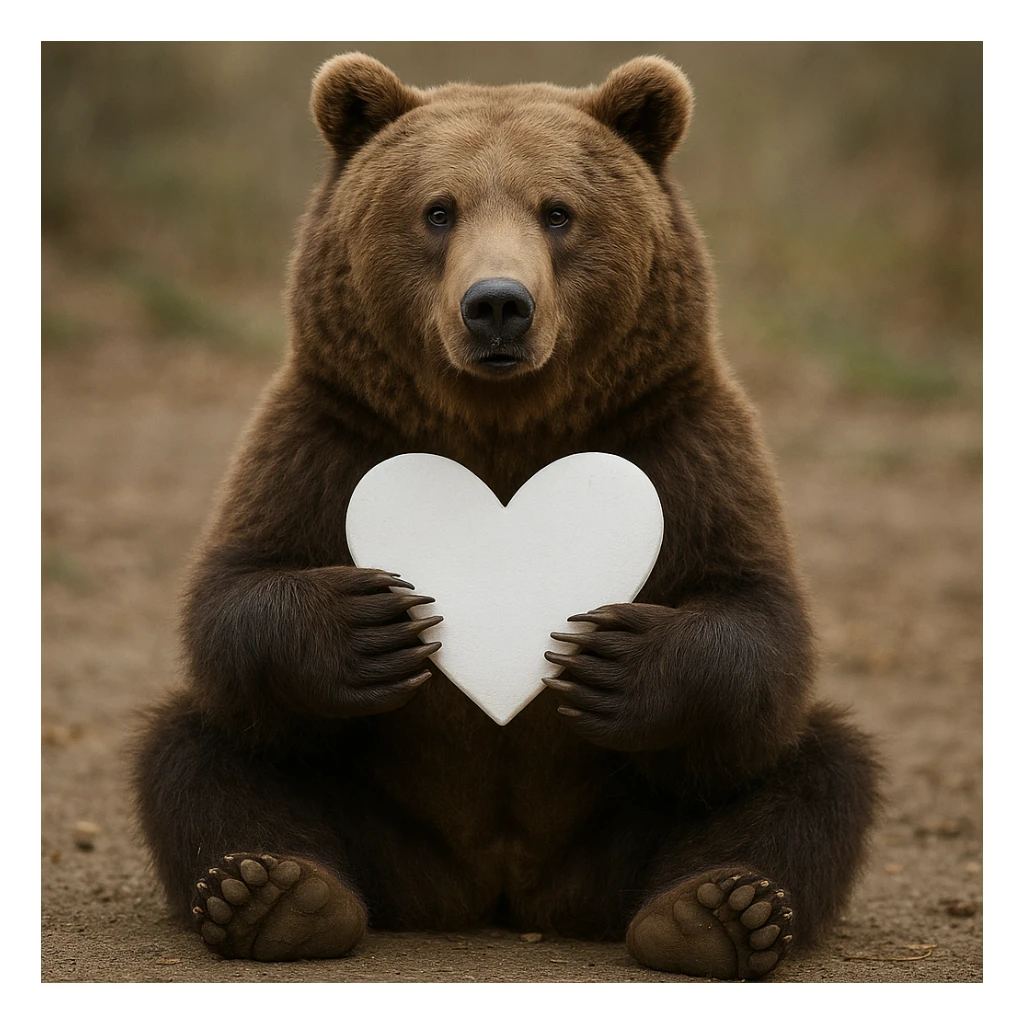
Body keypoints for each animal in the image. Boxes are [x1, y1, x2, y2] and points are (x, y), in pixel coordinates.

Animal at [132, 52, 881, 980]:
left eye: (557, 211)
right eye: (438, 209)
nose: (497, 304)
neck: (501, 425)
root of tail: (498, 888)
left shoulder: (677, 437)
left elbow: (755, 613)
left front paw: (613, 655)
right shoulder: (328, 433)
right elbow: (237, 588)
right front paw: (368, 622)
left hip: (620, 826)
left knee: (813, 771)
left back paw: (717, 910)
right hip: (380, 815)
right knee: (202, 752)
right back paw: (274, 893)